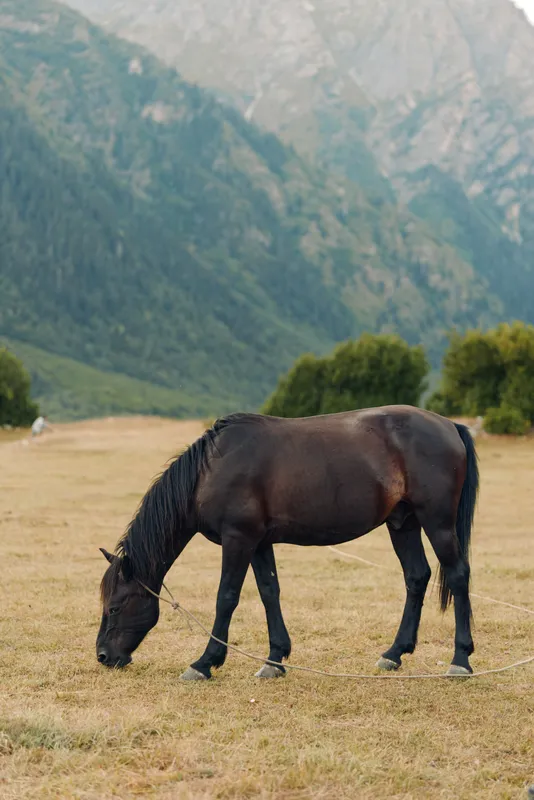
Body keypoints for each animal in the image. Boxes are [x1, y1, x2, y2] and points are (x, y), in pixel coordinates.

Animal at [97, 406, 479, 680]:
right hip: (403, 523)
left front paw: (205, 662)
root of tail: (450, 426)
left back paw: (460, 660)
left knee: (458, 576)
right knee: (416, 577)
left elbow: (227, 598)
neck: (212, 471)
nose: (103, 656)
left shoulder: (238, 540)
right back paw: (394, 654)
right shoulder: (258, 543)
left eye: (114, 607)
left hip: (437, 523)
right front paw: (275, 659)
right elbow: (270, 592)